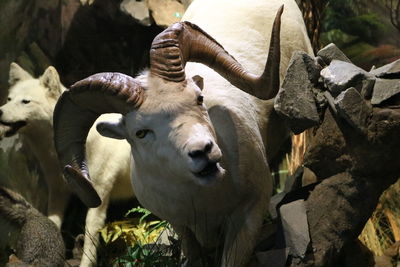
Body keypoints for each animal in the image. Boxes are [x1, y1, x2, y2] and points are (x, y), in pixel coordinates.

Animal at [0, 63, 134, 267]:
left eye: (25, 102)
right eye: (9, 99)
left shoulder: (99, 200)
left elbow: (89, 243)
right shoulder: (57, 193)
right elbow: (52, 222)